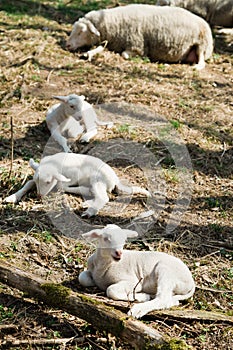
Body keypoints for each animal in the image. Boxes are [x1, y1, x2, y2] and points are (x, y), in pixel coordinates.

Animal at [4, 153, 150, 216]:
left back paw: (89, 211)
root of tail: (115, 179)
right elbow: (29, 182)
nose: (38, 196)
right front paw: (11, 197)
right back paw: (86, 204)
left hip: (97, 179)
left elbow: (62, 186)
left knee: (104, 197)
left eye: (48, 182)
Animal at [66, 3, 214, 69]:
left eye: (81, 31)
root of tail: (205, 23)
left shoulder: (136, 46)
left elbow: (125, 55)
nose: (67, 45)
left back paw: (196, 67)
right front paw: (88, 53)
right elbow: (101, 48)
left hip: (202, 45)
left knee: (202, 62)